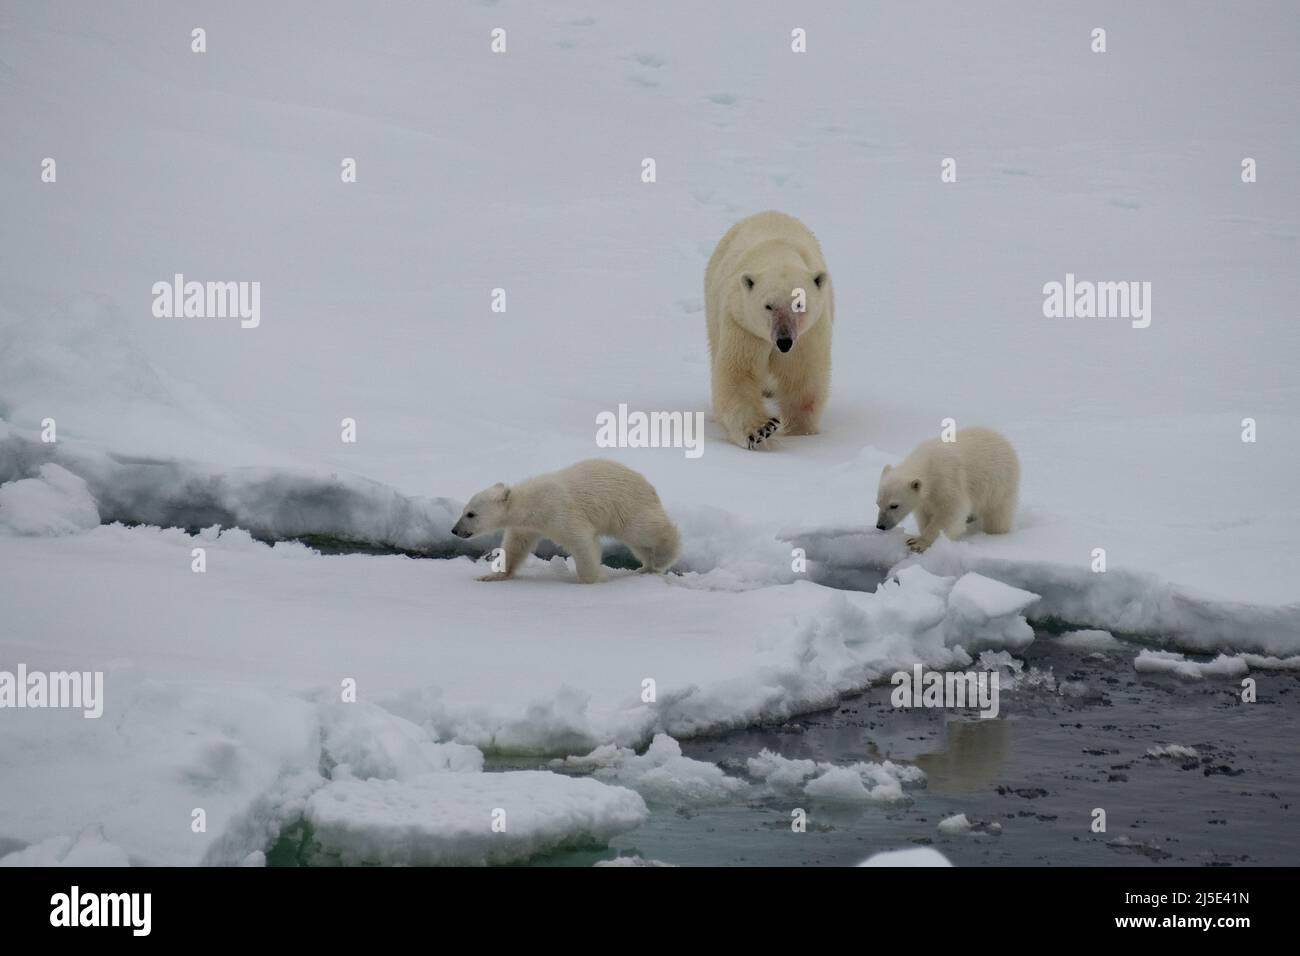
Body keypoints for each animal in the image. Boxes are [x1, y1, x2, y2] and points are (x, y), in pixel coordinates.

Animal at [449, 457, 681, 582]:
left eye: (470, 514)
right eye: (464, 510)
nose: (454, 530)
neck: (532, 502)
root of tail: (649, 486)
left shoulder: (558, 511)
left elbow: (581, 541)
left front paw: (594, 578)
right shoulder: (526, 525)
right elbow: (516, 546)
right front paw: (491, 576)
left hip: (627, 506)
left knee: (644, 530)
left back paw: (663, 558)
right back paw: (647, 566)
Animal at [702, 210, 832, 450]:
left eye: (799, 304)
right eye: (768, 306)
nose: (783, 341)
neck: (777, 252)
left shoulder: (807, 335)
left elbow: (802, 379)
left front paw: (801, 433)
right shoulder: (743, 323)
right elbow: (739, 374)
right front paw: (761, 430)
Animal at [878, 429, 1019, 554]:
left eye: (894, 505)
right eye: (878, 503)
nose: (880, 526)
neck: (928, 462)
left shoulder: (947, 480)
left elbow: (951, 510)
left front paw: (918, 543)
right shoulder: (925, 499)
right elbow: (924, 514)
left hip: (998, 483)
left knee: (998, 515)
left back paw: (995, 533)